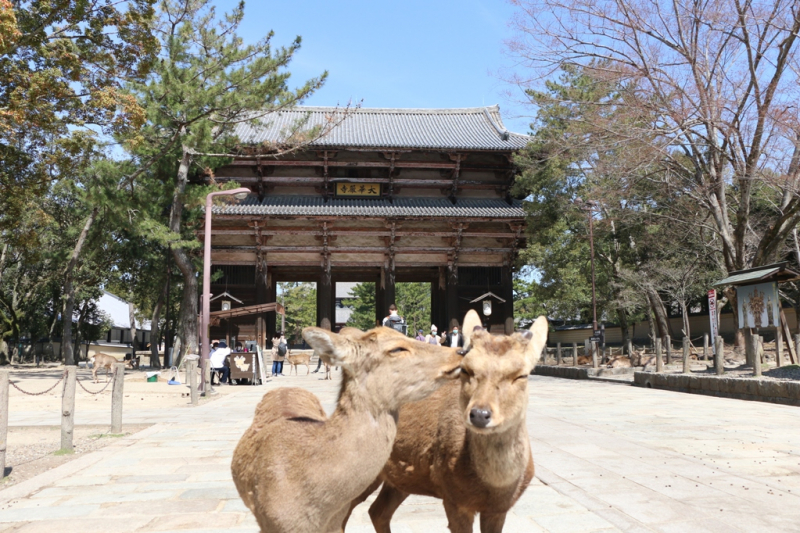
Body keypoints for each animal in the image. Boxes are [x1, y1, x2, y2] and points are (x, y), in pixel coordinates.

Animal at [346, 308, 552, 532]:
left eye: (521, 375)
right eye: (466, 370)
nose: (480, 414)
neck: (495, 486)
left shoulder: (500, 508)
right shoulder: (453, 498)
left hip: (402, 478)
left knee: (377, 511)